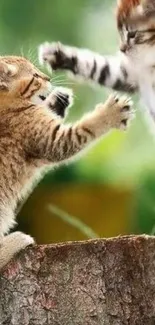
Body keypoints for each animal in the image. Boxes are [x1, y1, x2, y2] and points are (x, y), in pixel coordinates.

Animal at [0, 55, 133, 268]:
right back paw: (16, 241)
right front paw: (110, 113)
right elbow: (83, 130)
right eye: (35, 76)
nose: (48, 78)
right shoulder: (54, 141)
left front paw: (56, 101)